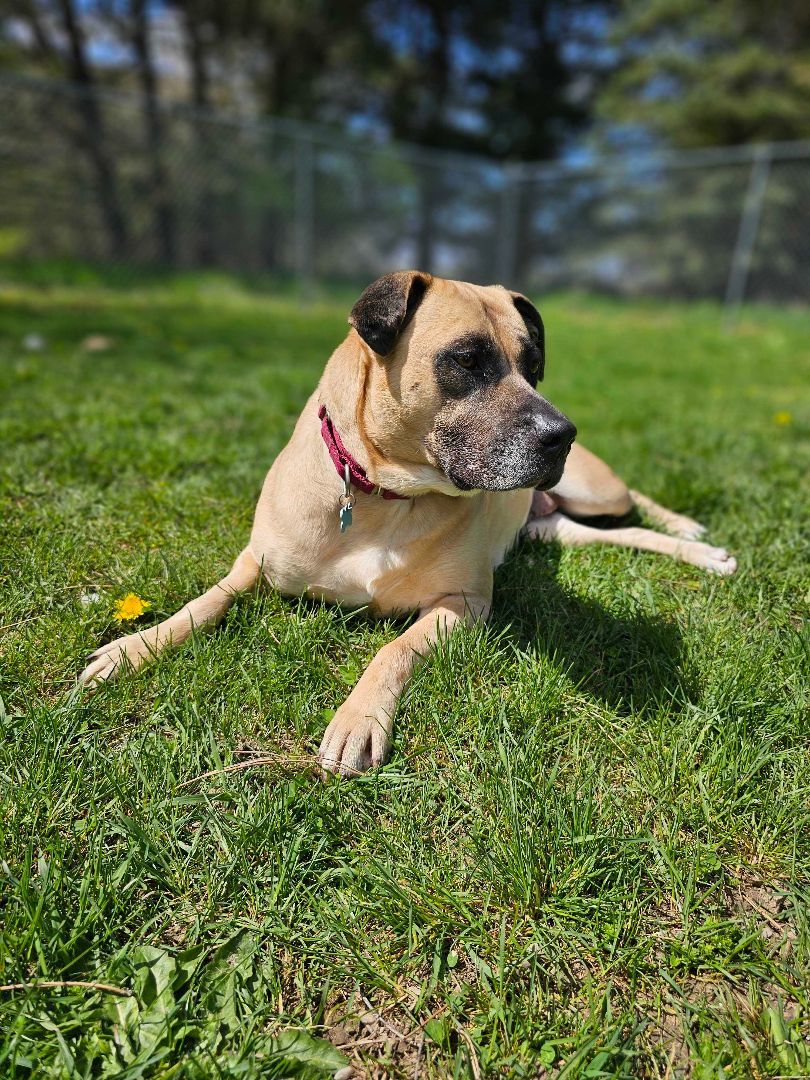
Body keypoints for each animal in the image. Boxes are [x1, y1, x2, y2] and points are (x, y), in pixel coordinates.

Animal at [79, 270, 738, 777]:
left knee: (636, 504)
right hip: (553, 527)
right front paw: (132, 649)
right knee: (619, 534)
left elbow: (391, 650)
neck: (384, 496)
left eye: (533, 366)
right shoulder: (256, 564)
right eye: (467, 361)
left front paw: (357, 721)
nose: (562, 435)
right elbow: (204, 603)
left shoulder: (462, 603)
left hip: (594, 488)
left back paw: (696, 538)